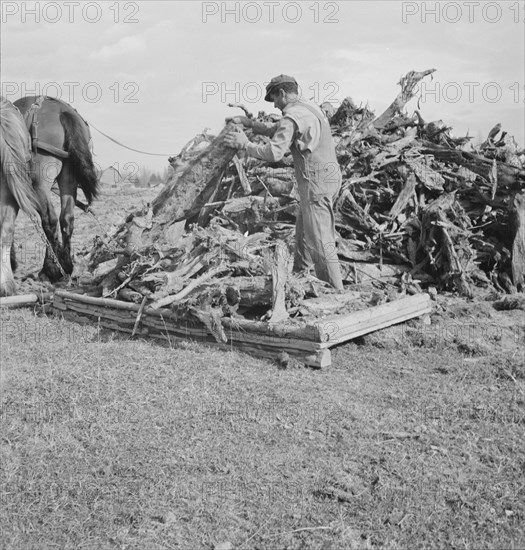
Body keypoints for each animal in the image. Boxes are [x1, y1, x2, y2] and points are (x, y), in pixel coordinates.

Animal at [13, 95, 99, 282]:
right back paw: (66, 264)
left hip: (40, 182)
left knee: (49, 219)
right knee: (66, 218)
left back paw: (51, 270)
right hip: (68, 177)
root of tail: (62, 111)